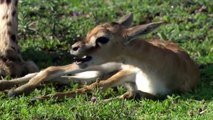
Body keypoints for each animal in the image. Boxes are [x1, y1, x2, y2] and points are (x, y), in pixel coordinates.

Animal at [0, 13, 200, 101]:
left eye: (102, 38)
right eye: (91, 32)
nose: (74, 48)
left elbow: (128, 93)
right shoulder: (127, 71)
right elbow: (97, 87)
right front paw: (38, 98)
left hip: (98, 68)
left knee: (63, 77)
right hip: (103, 65)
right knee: (51, 70)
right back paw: (13, 90)